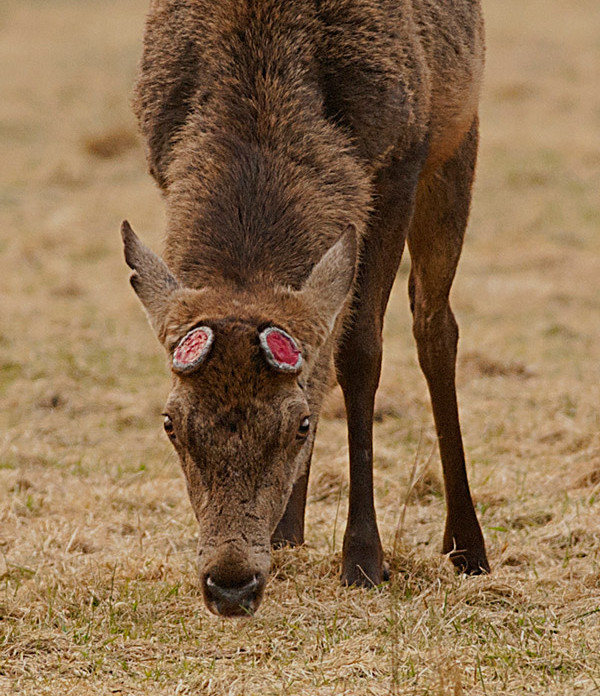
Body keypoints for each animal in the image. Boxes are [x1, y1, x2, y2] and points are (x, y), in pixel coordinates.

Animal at [120, 1, 488, 620]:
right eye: (170, 423)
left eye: (301, 425)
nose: (230, 585)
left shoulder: (399, 164)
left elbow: (361, 352)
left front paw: (363, 559)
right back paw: (288, 530)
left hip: (458, 139)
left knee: (435, 325)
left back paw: (467, 545)